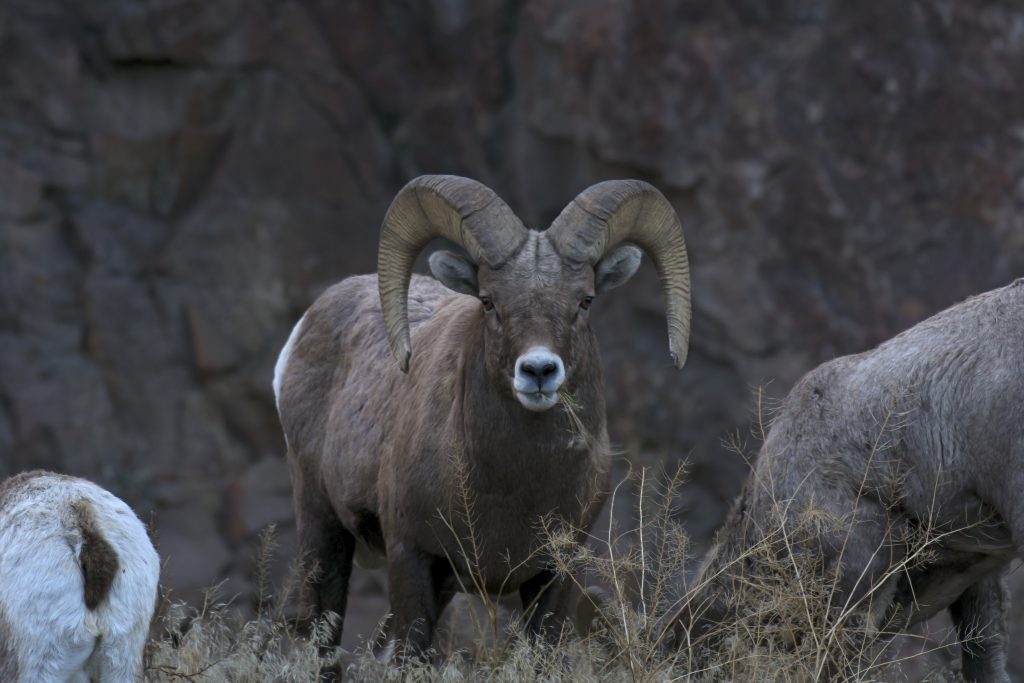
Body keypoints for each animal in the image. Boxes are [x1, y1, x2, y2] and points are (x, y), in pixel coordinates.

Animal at [274, 174, 691, 653]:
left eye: (585, 300)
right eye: (489, 302)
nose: (538, 370)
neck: (513, 487)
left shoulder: (557, 572)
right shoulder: (411, 558)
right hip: (322, 530)